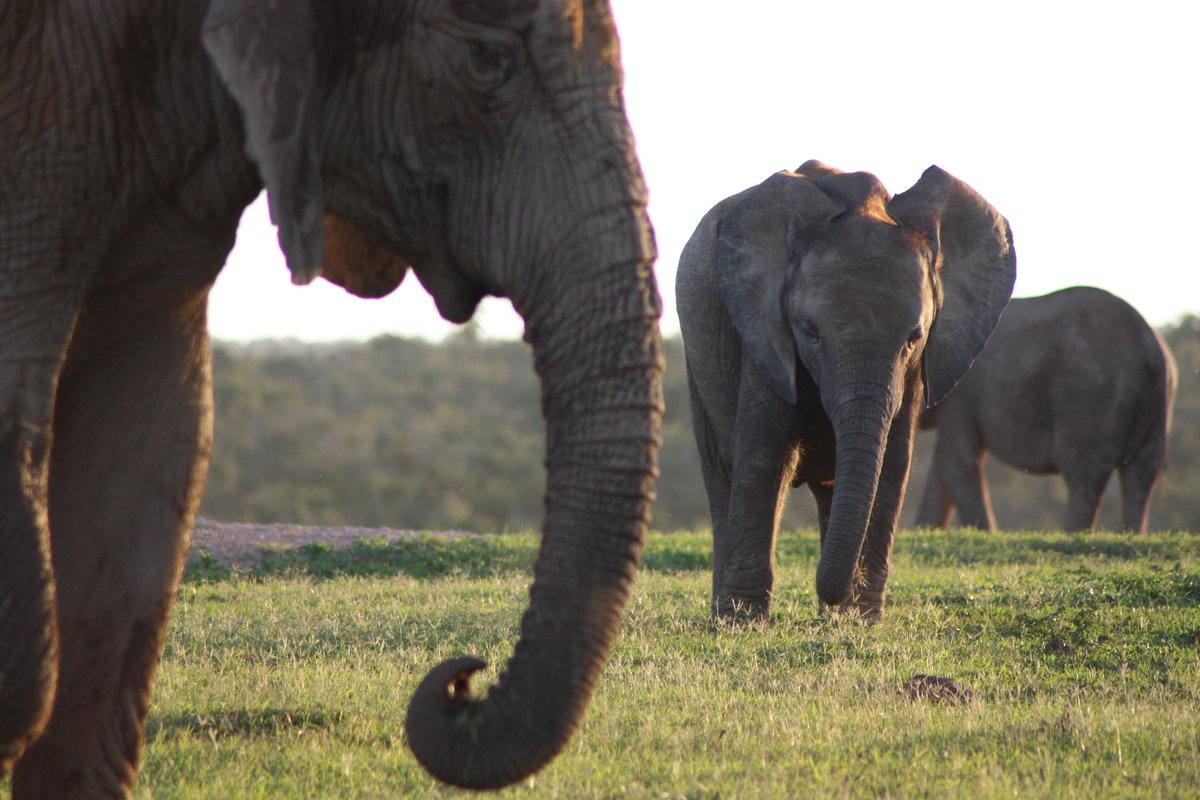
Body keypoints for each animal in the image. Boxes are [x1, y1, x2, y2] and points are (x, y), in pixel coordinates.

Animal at [676, 161, 1015, 622]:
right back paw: (725, 614)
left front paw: (860, 620)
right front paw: (743, 622)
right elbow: (765, 454)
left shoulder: (916, 368)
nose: (834, 594)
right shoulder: (763, 329)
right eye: (809, 332)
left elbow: (892, 461)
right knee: (723, 473)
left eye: (914, 337)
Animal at [913, 286, 1177, 533]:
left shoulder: (959, 395)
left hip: (1091, 395)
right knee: (1140, 474)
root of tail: (1153, 349)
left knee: (1085, 477)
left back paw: (1072, 536)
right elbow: (945, 467)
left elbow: (956, 462)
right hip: (1155, 402)